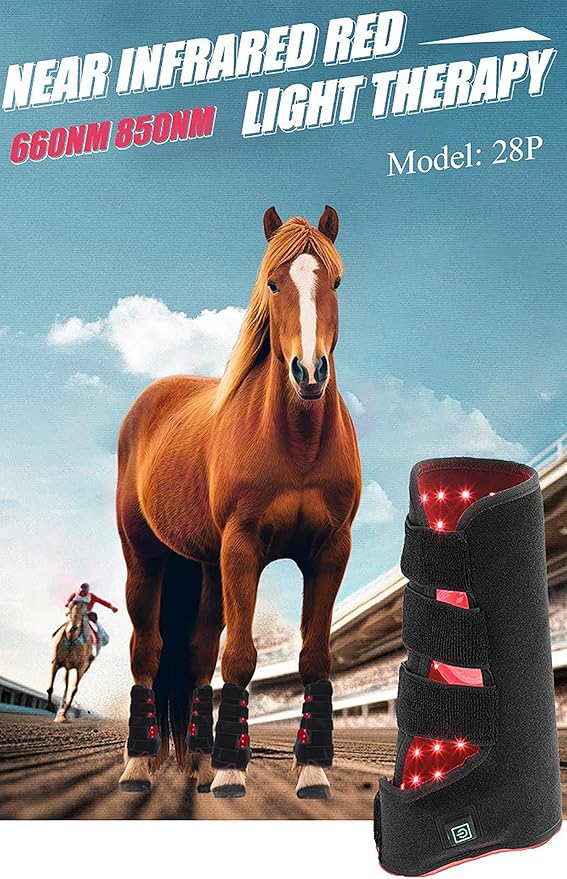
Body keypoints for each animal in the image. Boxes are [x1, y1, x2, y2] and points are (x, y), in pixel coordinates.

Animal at [117, 205, 362, 799]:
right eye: (272, 283)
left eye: (336, 282)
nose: (309, 372)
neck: (297, 444)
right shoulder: (242, 547)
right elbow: (242, 657)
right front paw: (232, 772)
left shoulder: (330, 551)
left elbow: (314, 657)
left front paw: (313, 771)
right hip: (145, 558)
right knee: (147, 650)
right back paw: (140, 766)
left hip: (207, 565)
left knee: (198, 655)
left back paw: (199, 759)